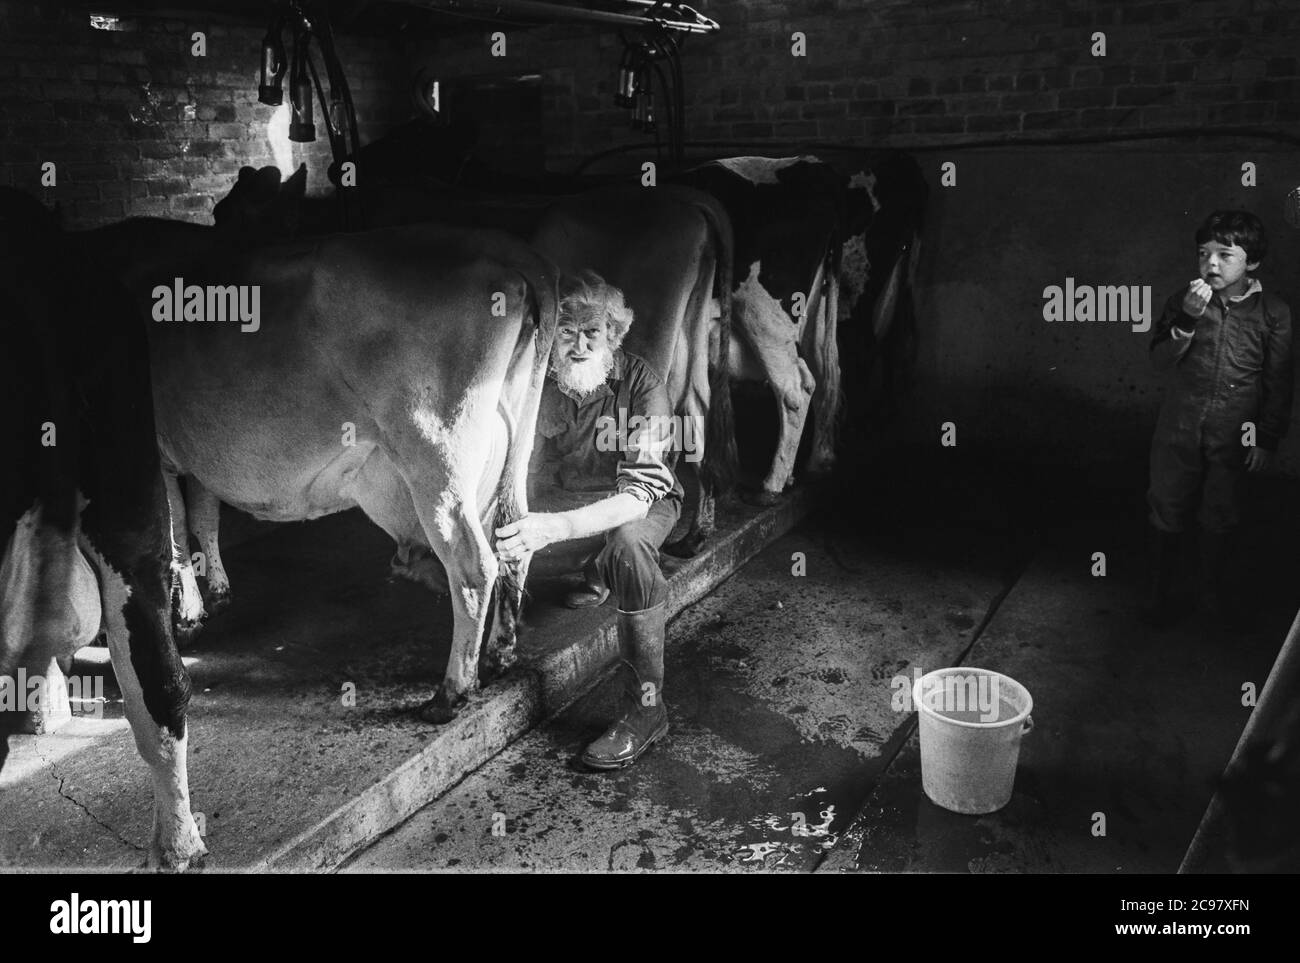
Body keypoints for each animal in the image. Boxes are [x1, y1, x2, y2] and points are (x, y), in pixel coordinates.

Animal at [85, 211, 553, 722]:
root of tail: (510, 249)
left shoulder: (153, 454)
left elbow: (171, 536)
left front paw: (187, 618)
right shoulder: (194, 454)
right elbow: (203, 519)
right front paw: (217, 592)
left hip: (436, 459)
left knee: (472, 565)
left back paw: (450, 693)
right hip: (513, 442)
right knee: (515, 537)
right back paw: (501, 653)